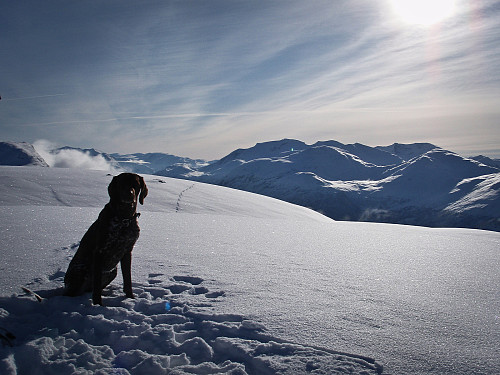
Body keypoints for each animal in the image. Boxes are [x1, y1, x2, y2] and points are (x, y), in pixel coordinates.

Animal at [63, 173, 147, 306]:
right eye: (121, 183)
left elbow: (127, 279)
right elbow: (97, 285)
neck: (124, 218)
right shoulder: (99, 252)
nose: (129, 194)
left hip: (112, 272)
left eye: (136, 184)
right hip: (81, 271)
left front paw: (130, 298)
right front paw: (98, 305)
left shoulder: (127, 251)